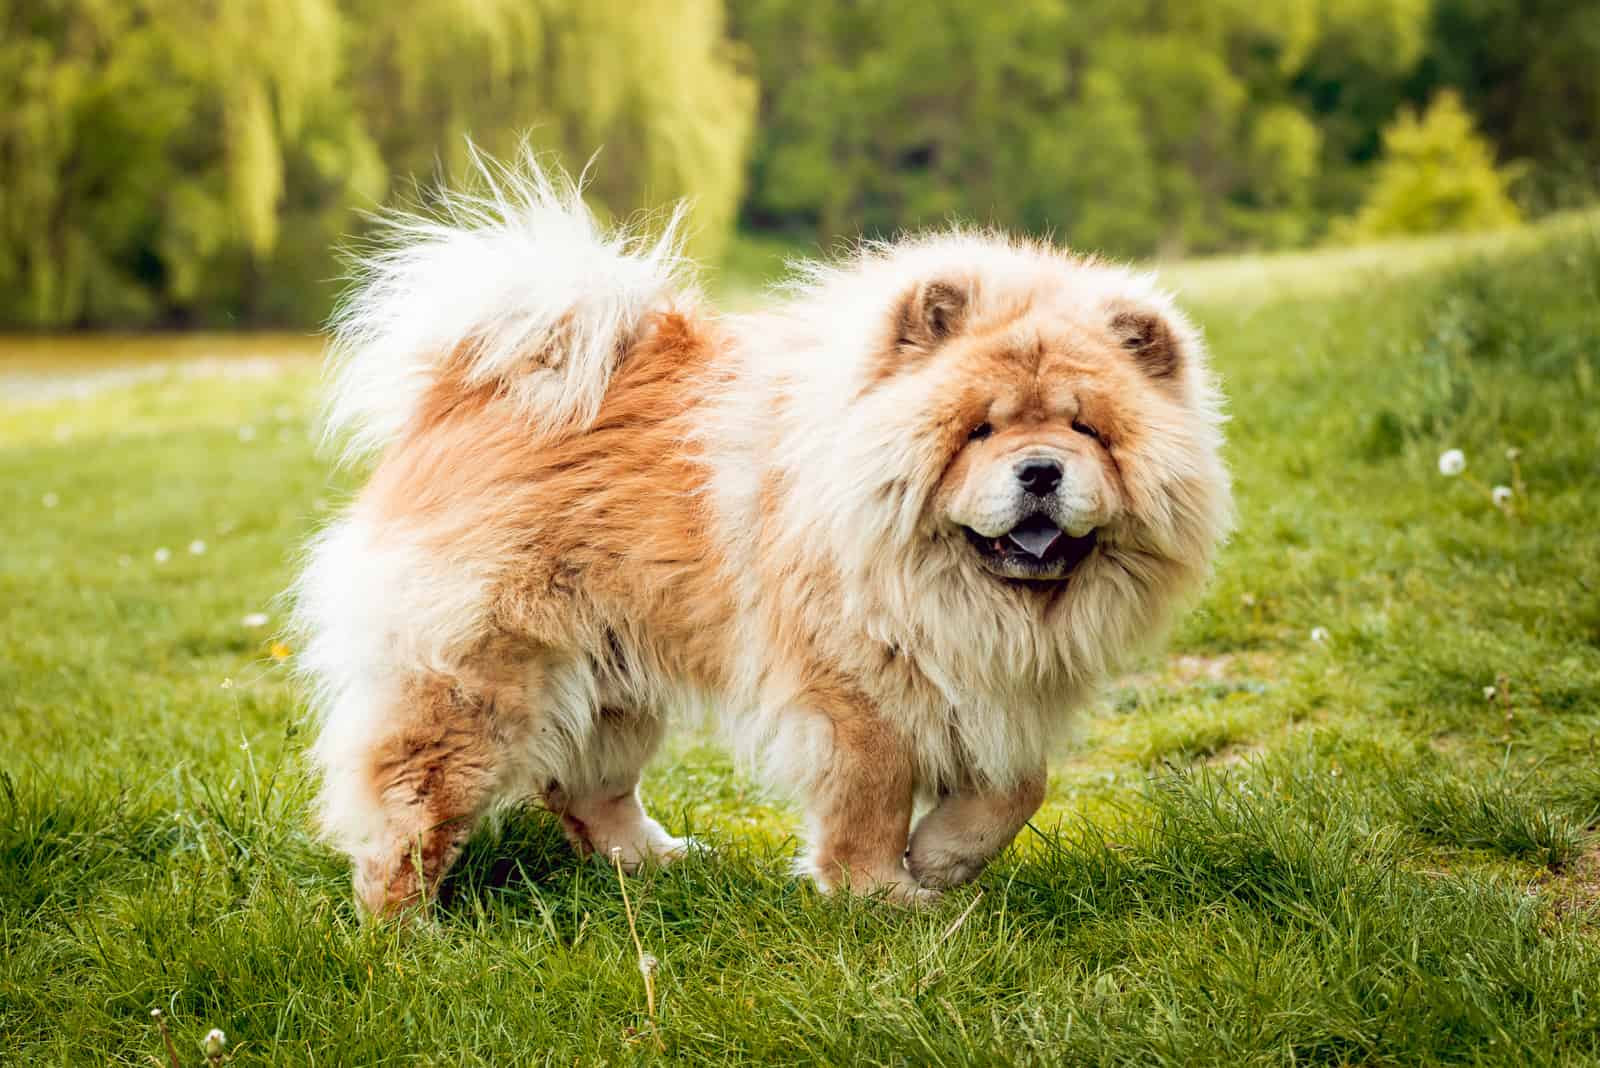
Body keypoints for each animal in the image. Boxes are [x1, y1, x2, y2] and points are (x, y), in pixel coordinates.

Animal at [294, 154, 1228, 914]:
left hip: (608, 673)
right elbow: (872, 798)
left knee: (587, 788)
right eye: (979, 432)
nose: (1040, 470)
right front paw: (882, 896)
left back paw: (661, 864)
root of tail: (468, 386)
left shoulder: (994, 683)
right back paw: (406, 930)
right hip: (480, 676)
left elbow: (1018, 790)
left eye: (1087, 430)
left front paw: (943, 861)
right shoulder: (856, 692)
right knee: (411, 799)